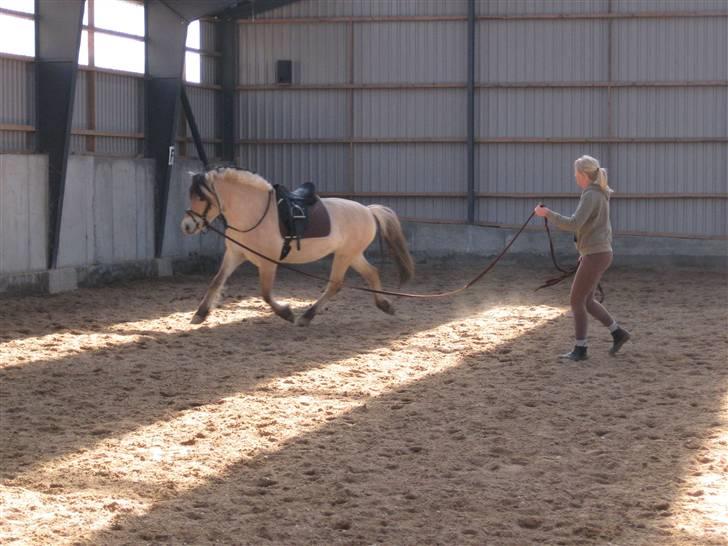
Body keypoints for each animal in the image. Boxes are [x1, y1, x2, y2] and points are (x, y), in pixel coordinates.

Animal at [181, 168, 416, 326]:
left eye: (201, 196)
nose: (187, 226)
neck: (253, 214)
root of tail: (368, 210)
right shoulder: (235, 254)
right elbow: (216, 281)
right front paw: (200, 314)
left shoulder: (267, 262)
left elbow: (266, 293)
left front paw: (286, 313)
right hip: (352, 254)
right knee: (371, 273)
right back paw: (385, 305)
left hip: (345, 255)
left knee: (335, 284)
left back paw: (306, 316)